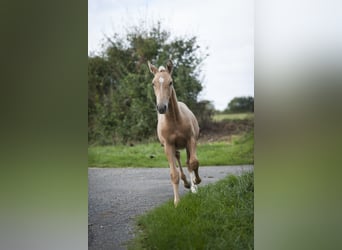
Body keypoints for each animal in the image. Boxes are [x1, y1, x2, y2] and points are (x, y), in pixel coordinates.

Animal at [147, 59, 200, 206]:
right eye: (153, 83)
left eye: (170, 82)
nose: (161, 107)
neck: (175, 121)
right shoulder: (168, 145)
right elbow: (173, 174)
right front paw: (177, 202)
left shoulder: (191, 140)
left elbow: (194, 163)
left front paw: (196, 182)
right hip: (176, 147)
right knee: (179, 159)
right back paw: (187, 183)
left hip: (188, 144)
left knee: (189, 162)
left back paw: (193, 186)